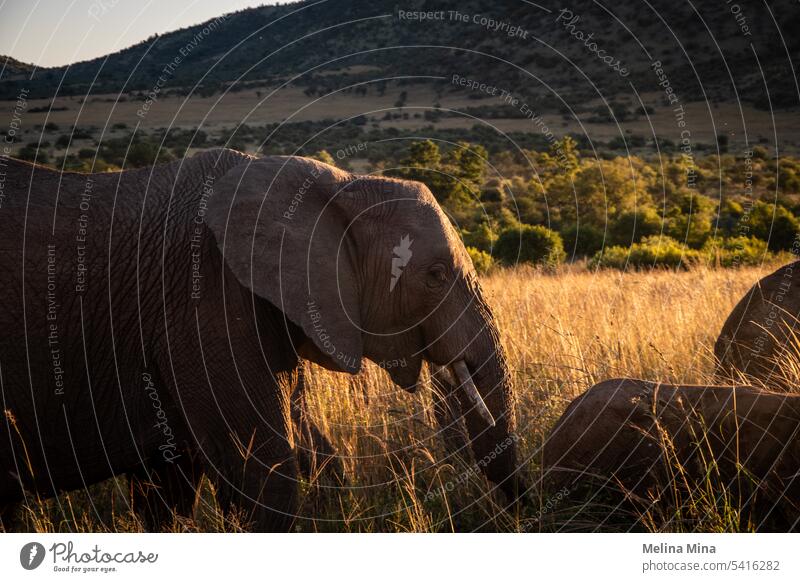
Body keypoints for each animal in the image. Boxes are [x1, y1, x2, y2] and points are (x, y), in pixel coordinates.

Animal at [0, 151, 520, 532]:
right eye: (435, 276)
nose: (517, 514)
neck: (333, 186)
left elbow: (173, 486)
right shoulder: (202, 301)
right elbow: (264, 475)